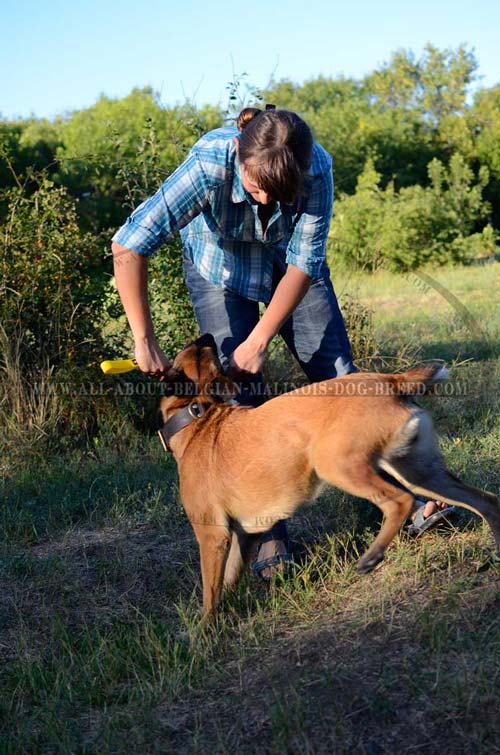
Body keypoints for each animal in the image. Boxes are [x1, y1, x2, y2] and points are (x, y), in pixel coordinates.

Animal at [159, 336, 500, 616]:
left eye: (188, 352)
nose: (207, 336)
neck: (198, 417)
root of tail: (389, 379)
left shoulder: (212, 535)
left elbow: (209, 596)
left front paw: (205, 637)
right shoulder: (244, 535)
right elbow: (225, 586)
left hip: (337, 465)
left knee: (399, 502)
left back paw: (372, 556)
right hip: (421, 473)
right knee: (486, 500)